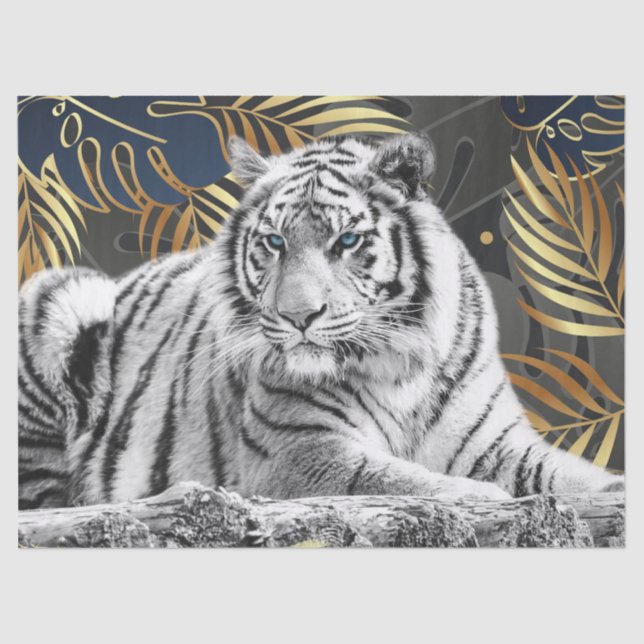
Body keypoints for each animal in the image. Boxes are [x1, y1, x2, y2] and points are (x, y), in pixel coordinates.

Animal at [18, 133, 624, 510]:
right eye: (274, 242)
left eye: (347, 240)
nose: (298, 315)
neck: (401, 368)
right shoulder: (300, 453)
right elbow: (394, 479)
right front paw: (485, 499)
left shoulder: (494, 444)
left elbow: (566, 472)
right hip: (61, 294)